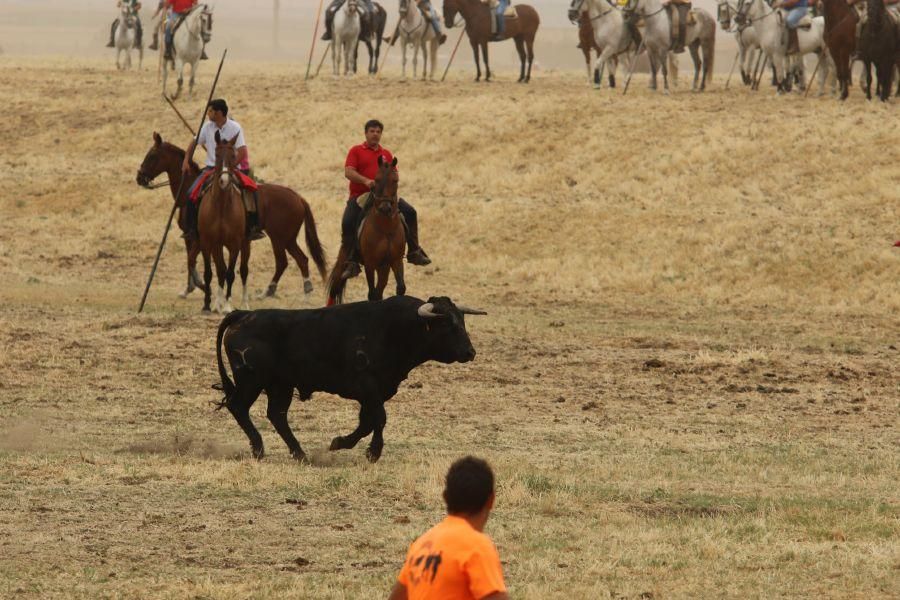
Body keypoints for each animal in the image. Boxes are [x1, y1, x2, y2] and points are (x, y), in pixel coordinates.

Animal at [137, 135, 326, 302]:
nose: (139, 177)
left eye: (152, 155)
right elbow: (191, 261)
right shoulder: (193, 237)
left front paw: (201, 286)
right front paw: (190, 288)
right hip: (288, 239)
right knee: (301, 259)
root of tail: (298, 198)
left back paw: (272, 291)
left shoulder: (200, 238)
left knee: (283, 262)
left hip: (279, 238)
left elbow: (191, 260)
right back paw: (296, 292)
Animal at [216, 296, 486, 464]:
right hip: (251, 380)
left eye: (462, 321)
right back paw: (259, 448)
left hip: (280, 385)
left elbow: (367, 422)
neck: (396, 329)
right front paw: (373, 452)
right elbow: (379, 419)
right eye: (447, 324)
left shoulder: (376, 392)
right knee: (238, 406)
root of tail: (243, 315)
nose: (470, 352)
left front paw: (339, 442)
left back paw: (300, 453)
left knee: (277, 415)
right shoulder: (368, 387)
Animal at [326, 156, 406, 304]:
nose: (385, 207)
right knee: (335, 288)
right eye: (377, 179)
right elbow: (372, 294)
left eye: (395, 180)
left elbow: (400, 288)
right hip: (345, 261)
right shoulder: (370, 263)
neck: (386, 229)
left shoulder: (396, 260)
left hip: (383, 267)